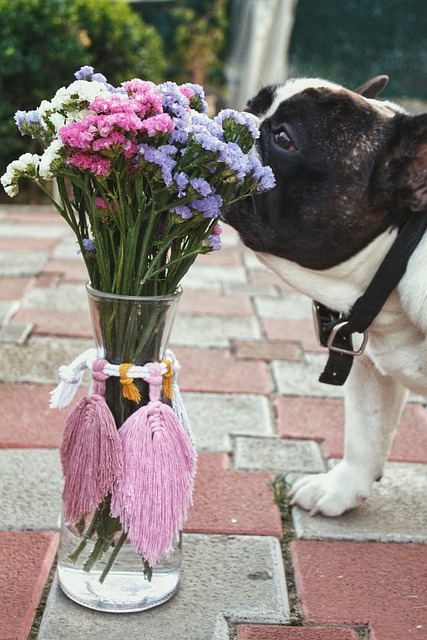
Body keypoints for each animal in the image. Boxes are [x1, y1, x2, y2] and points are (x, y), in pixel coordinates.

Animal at [224, 76, 427, 516]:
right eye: (253, 105)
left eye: (284, 138)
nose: (233, 117)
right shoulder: (371, 369)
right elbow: (366, 430)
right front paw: (341, 487)